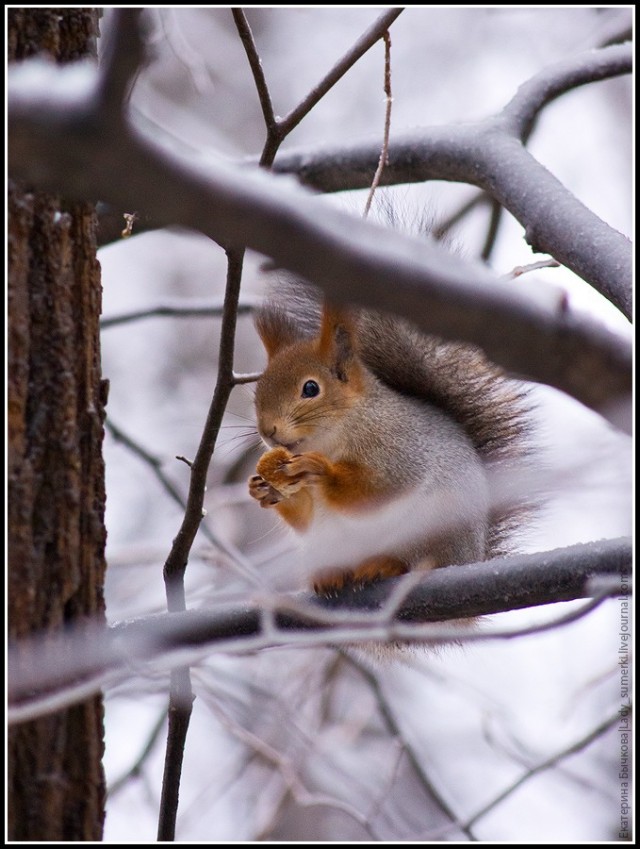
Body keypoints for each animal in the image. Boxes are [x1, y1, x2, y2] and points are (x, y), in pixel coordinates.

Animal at [248, 274, 532, 596]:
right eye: (256, 393)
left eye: (310, 388)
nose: (268, 431)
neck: (334, 437)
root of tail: (472, 557)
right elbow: (304, 516)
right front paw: (263, 488)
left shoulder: (400, 449)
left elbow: (380, 490)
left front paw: (320, 471)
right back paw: (330, 576)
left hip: (431, 528)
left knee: (416, 561)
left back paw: (383, 565)